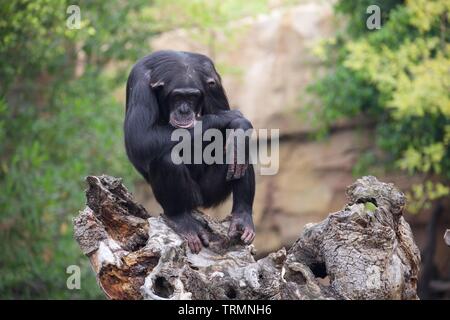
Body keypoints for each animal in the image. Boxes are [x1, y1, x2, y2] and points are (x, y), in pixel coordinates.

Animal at [125, 50, 255, 255]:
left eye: (192, 98)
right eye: (177, 97)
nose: (184, 110)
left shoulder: (213, 80)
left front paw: (240, 125)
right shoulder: (139, 83)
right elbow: (140, 139)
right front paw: (232, 117)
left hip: (209, 192)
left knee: (240, 151)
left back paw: (242, 218)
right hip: (191, 197)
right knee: (166, 159)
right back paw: (181, 220)